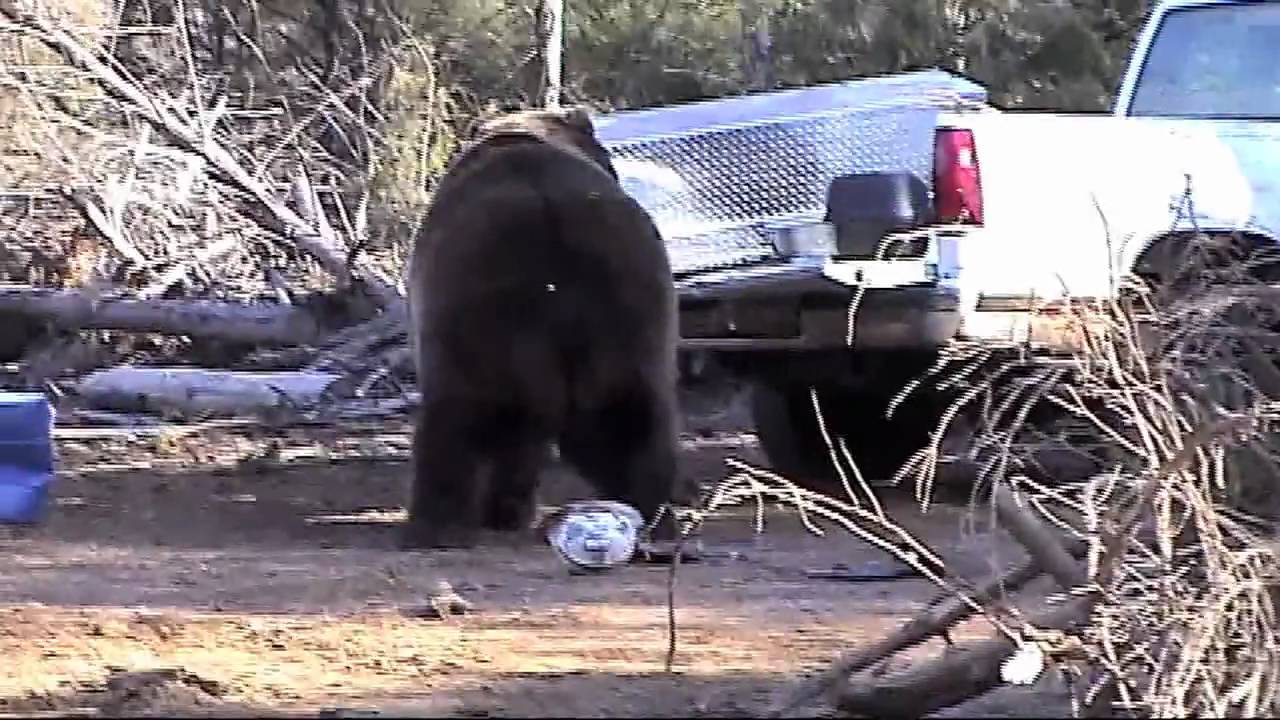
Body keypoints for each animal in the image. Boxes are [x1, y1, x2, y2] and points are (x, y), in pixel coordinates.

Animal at [402, 106, 684, 550]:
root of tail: (551, 218)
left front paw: (506, 512)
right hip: (628, 299)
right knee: (631, 421)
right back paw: (654, 519)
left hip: (476, 306)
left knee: (454, 413)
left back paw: (433, 525)